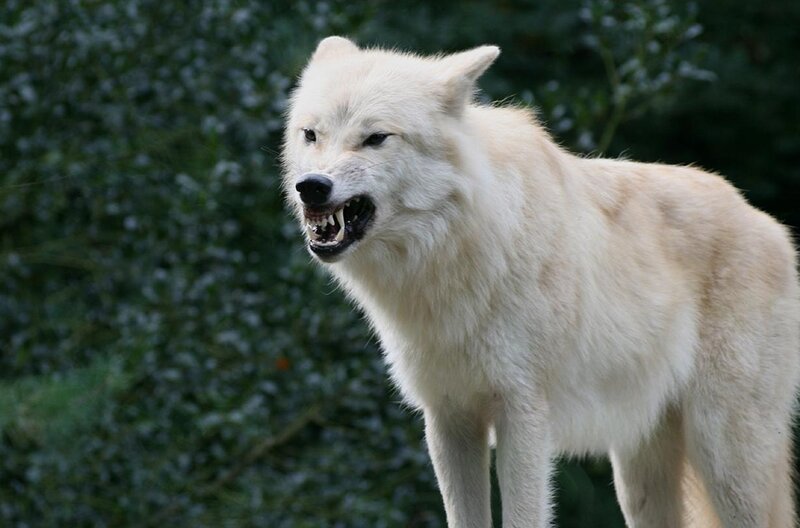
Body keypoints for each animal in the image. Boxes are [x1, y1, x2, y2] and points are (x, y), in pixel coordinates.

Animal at [282, 36, 800, 527]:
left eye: (375, 138)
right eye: (311, 135)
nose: (311, 186)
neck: (456, 254)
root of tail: (770, 226)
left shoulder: (523, 413)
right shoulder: (450, 418)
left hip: (726, 456)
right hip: (640, 477)